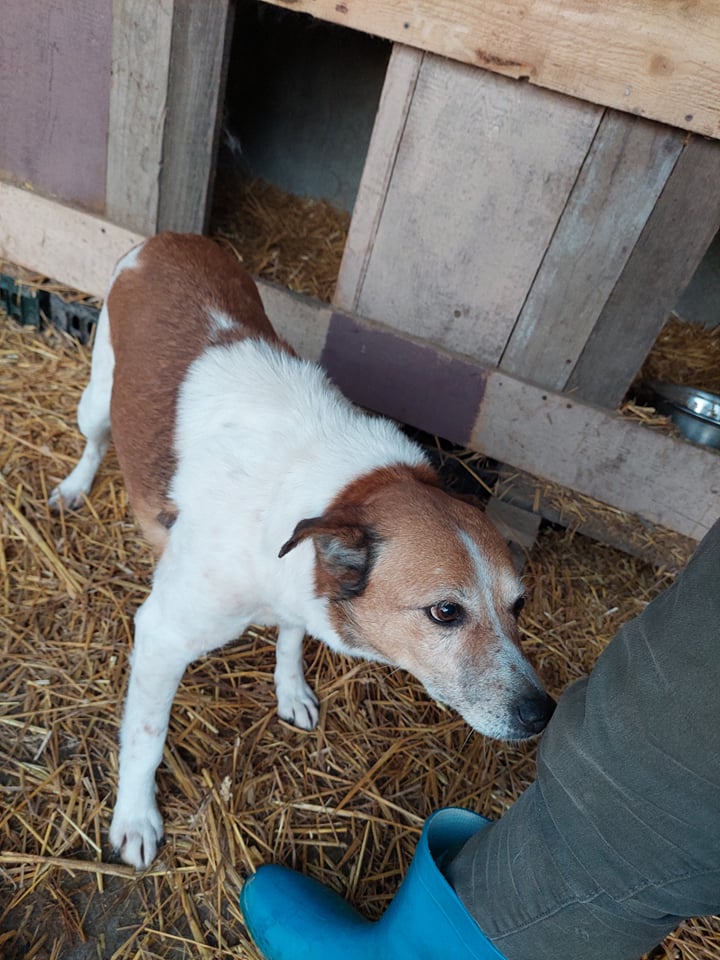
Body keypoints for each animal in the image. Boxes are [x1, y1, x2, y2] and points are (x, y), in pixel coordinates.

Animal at [50, 234, 556, 872]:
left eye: (520, 606)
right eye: (445, 612)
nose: (543, 713)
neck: (337, 493)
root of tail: (168, 239)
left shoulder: (300, 585)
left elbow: (291, 640)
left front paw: (290, 690)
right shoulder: (162, 635)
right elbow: (145, 739)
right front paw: (136, 819)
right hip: (98, 397)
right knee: (94, 440)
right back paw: (75, 486)